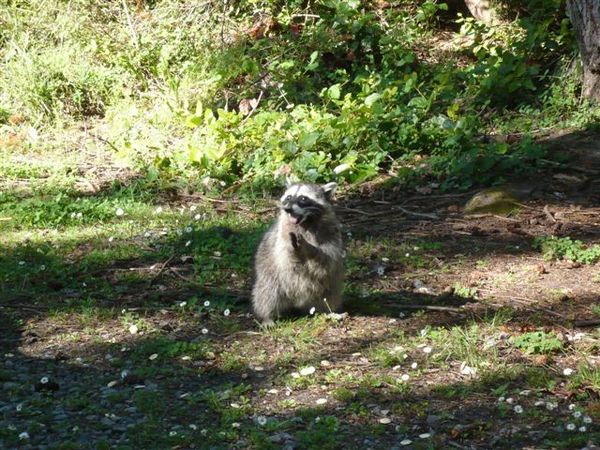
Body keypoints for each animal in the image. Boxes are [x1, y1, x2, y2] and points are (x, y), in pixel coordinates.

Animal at [252, 181, 344, 326]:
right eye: (288, 197)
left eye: (303, 198)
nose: (288, 209)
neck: (306, 223)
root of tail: (298, 303)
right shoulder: (282, 236)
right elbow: (286, 258)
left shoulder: (331, 233)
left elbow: (329, 259)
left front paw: (309, 248)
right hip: (272, 278)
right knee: (267, 293)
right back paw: (267, 316)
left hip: (330, 285)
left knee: (329, 295)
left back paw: (327, 311)